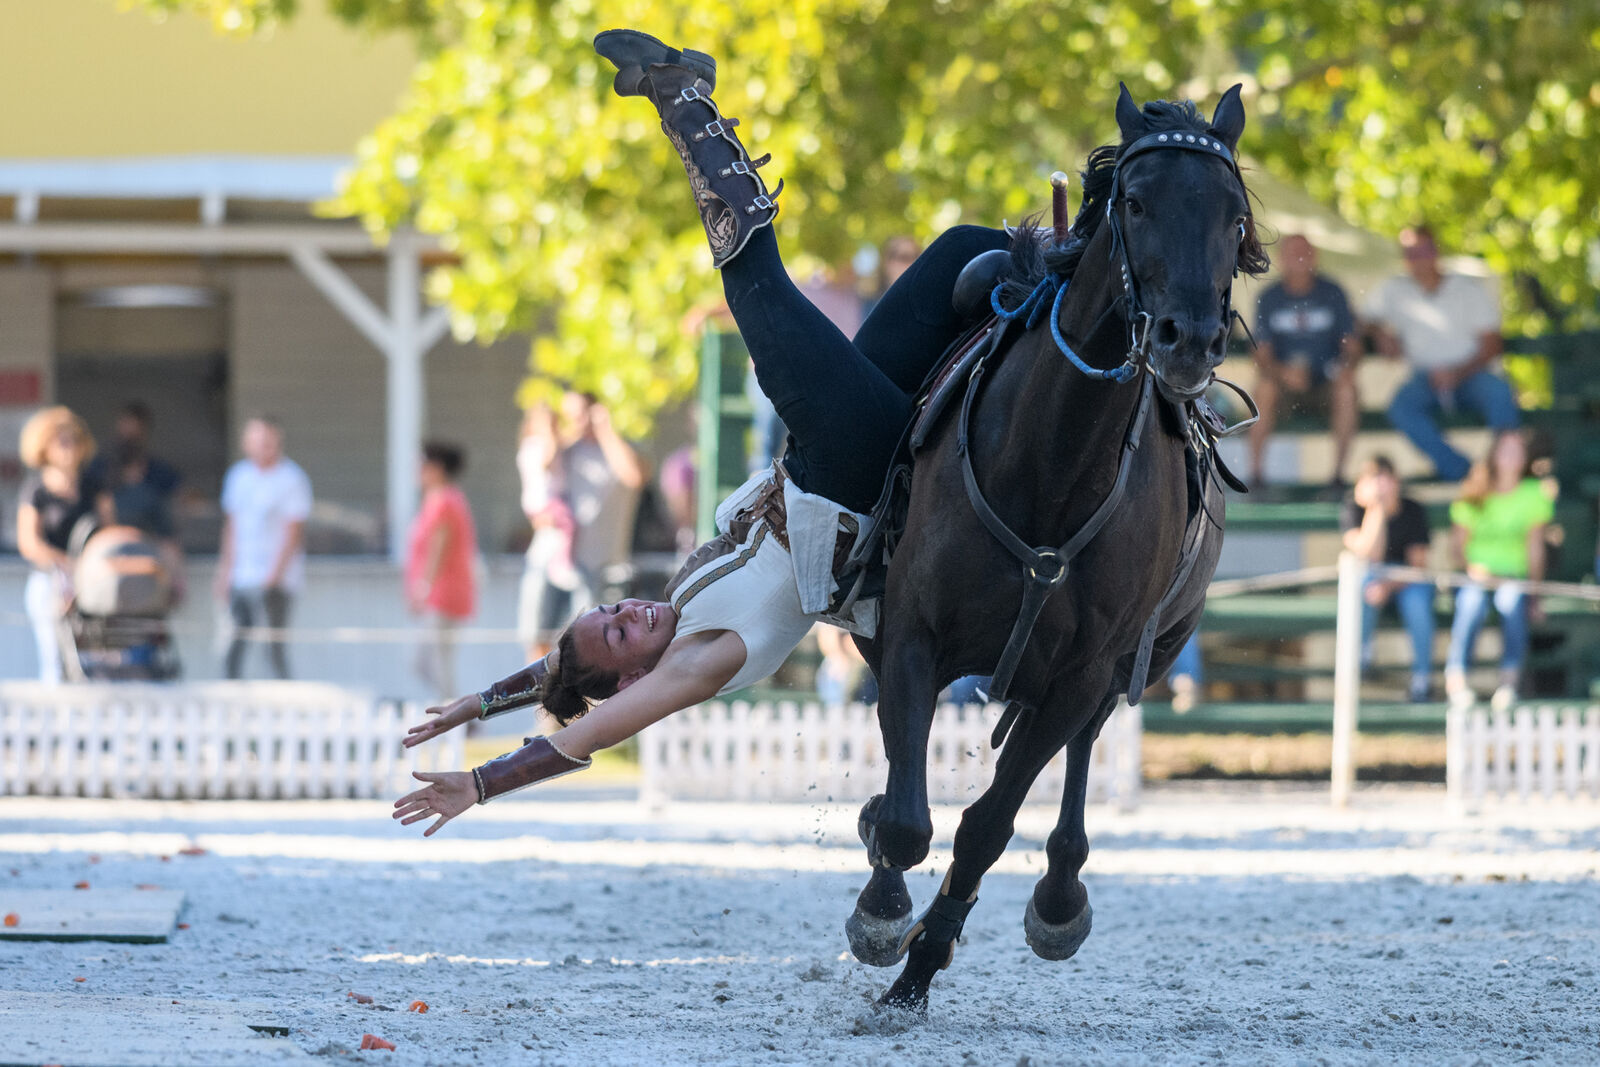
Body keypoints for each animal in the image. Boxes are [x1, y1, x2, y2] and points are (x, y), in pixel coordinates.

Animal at [844, 83, 1267, 1011]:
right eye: (1136, 203)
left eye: (1233, 216)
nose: (1190, 339)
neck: (1053, 459)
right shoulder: (910, 631)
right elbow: (906, 814)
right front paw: (885, 909)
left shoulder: (1083, 670)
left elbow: (988, 824)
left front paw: (924, 958)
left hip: (1138, 657)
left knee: (1077, 756)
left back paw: (1060, 893)